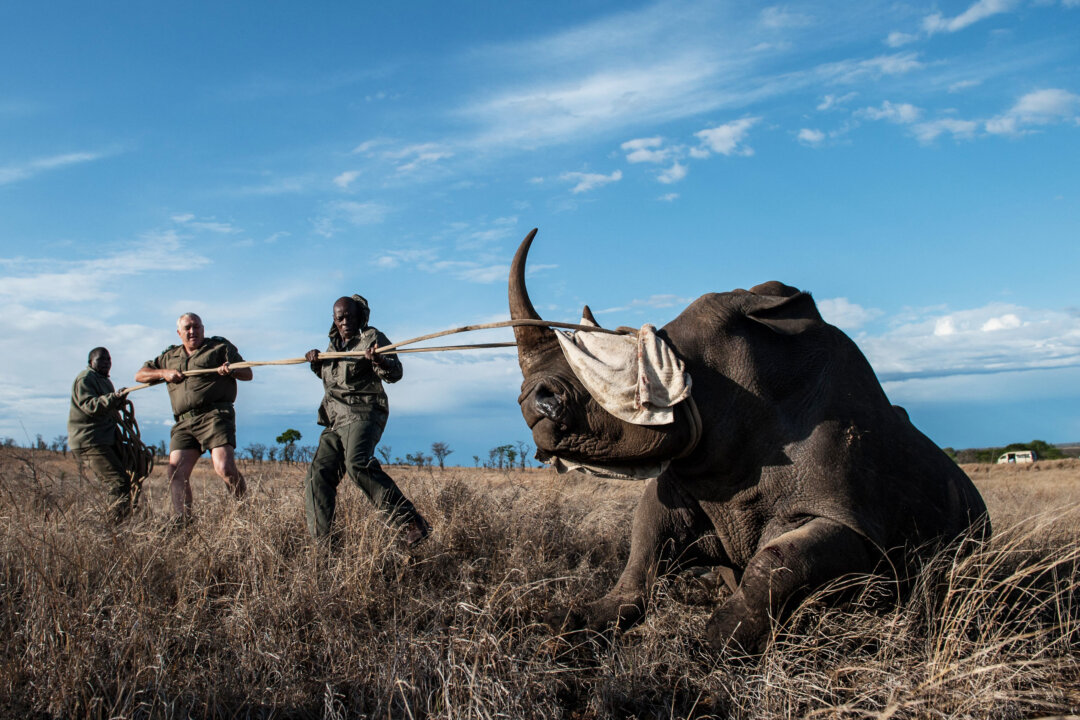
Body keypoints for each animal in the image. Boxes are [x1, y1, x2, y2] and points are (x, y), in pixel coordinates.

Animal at [509, 229, 990, 653]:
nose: (533, 403)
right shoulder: (690, 476)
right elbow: (643, 552)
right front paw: (572, 625)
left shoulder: (853, 521)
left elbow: (778, 562)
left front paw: (712, 648)